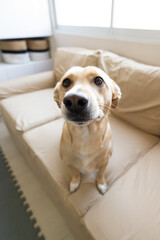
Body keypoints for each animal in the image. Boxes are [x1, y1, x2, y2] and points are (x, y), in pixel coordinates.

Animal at [53, 66, 120, 194]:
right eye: (66, 82)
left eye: (99, 80)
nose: (74, 100)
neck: (85, 133)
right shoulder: (68, 162)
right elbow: (75, 172)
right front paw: (75, 183)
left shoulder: (105, 162)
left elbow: (100, 174)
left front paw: (101, 184)